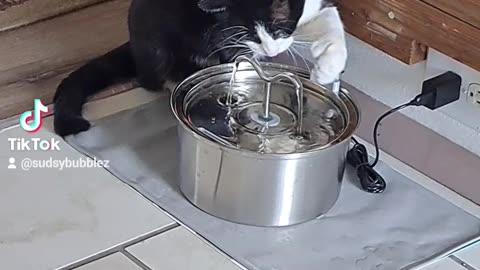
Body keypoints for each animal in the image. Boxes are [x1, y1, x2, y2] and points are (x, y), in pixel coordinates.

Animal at [52, 0, 346, 136]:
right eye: (247, 33)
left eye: (276, 26)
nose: (270, 52)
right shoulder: (222, 31)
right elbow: (232, 54)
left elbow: (332, 18)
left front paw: (328, 68)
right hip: (153, 35)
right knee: (152, 76)